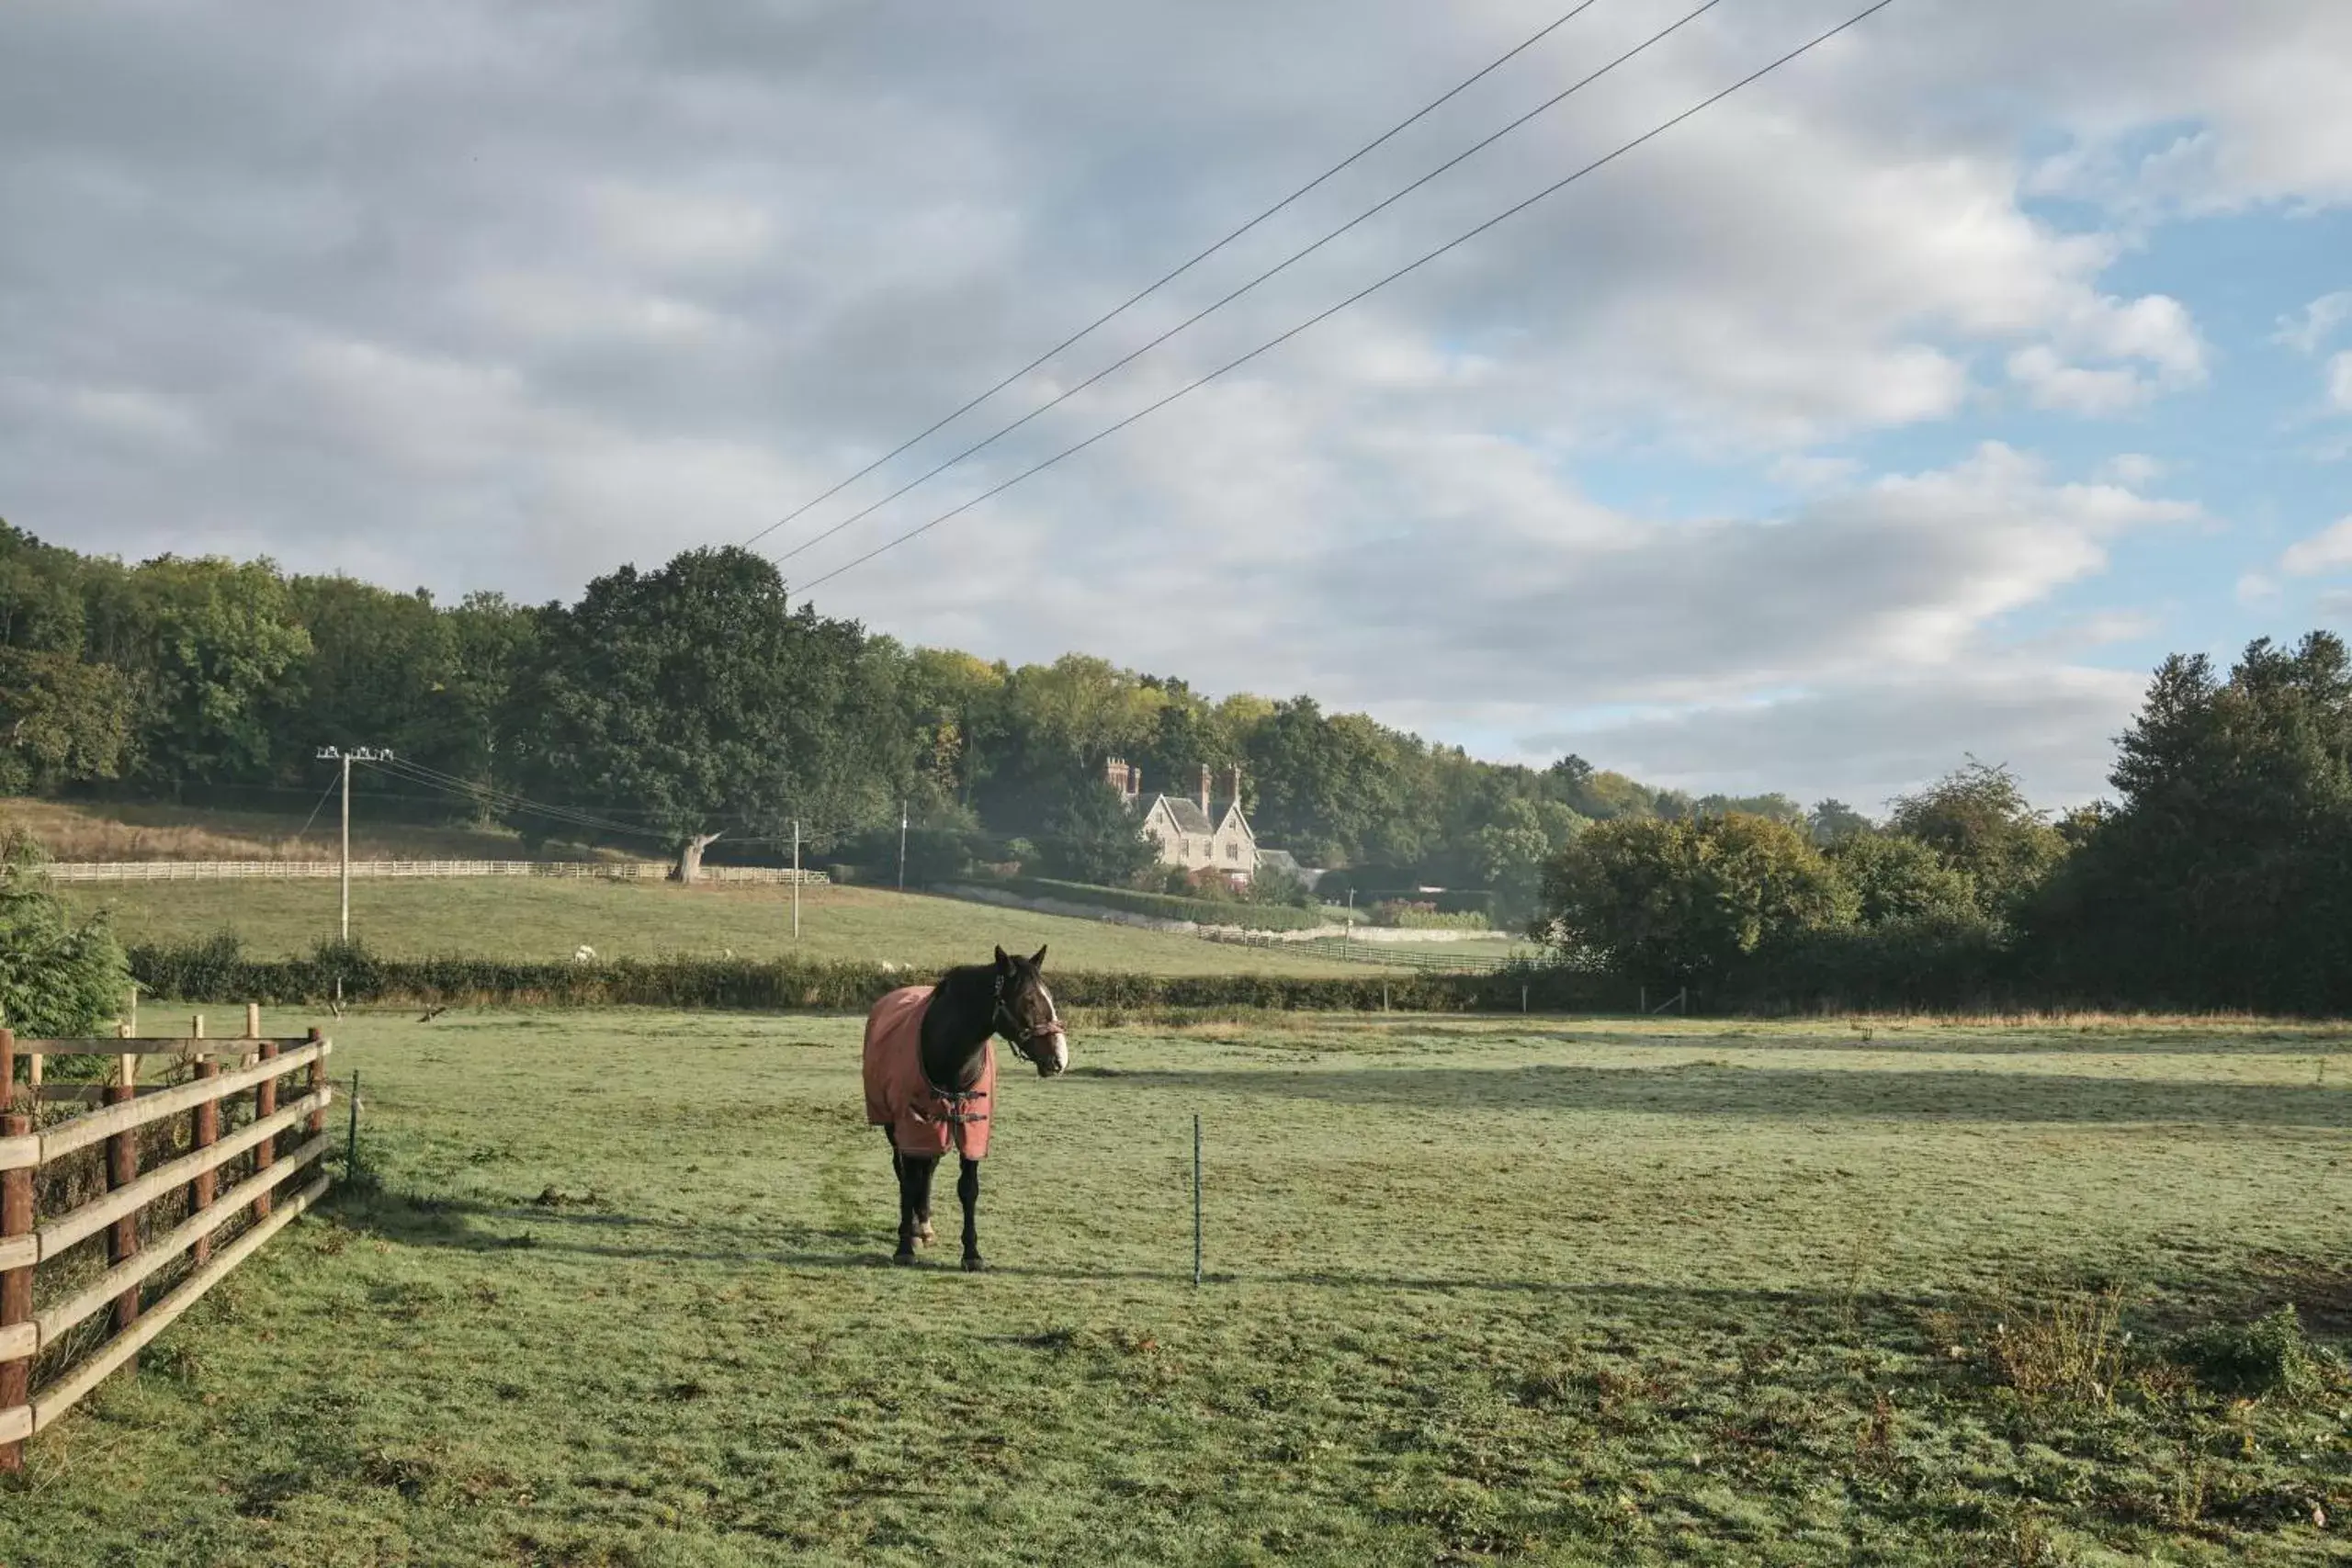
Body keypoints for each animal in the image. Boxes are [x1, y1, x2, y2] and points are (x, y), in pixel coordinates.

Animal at [865, 949, 1068, 1269]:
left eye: (1049, 995)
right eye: (1028, 1000)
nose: (1060, 1057)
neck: (950, 1056)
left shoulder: (973, 1127)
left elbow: (968, 1188)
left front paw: (972, 1253)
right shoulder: (910, 1126)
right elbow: (909, 1181)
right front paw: (904, 1247)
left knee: (929, 1169)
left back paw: (924, 1226)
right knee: (907, 1172)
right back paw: (913, 1228)